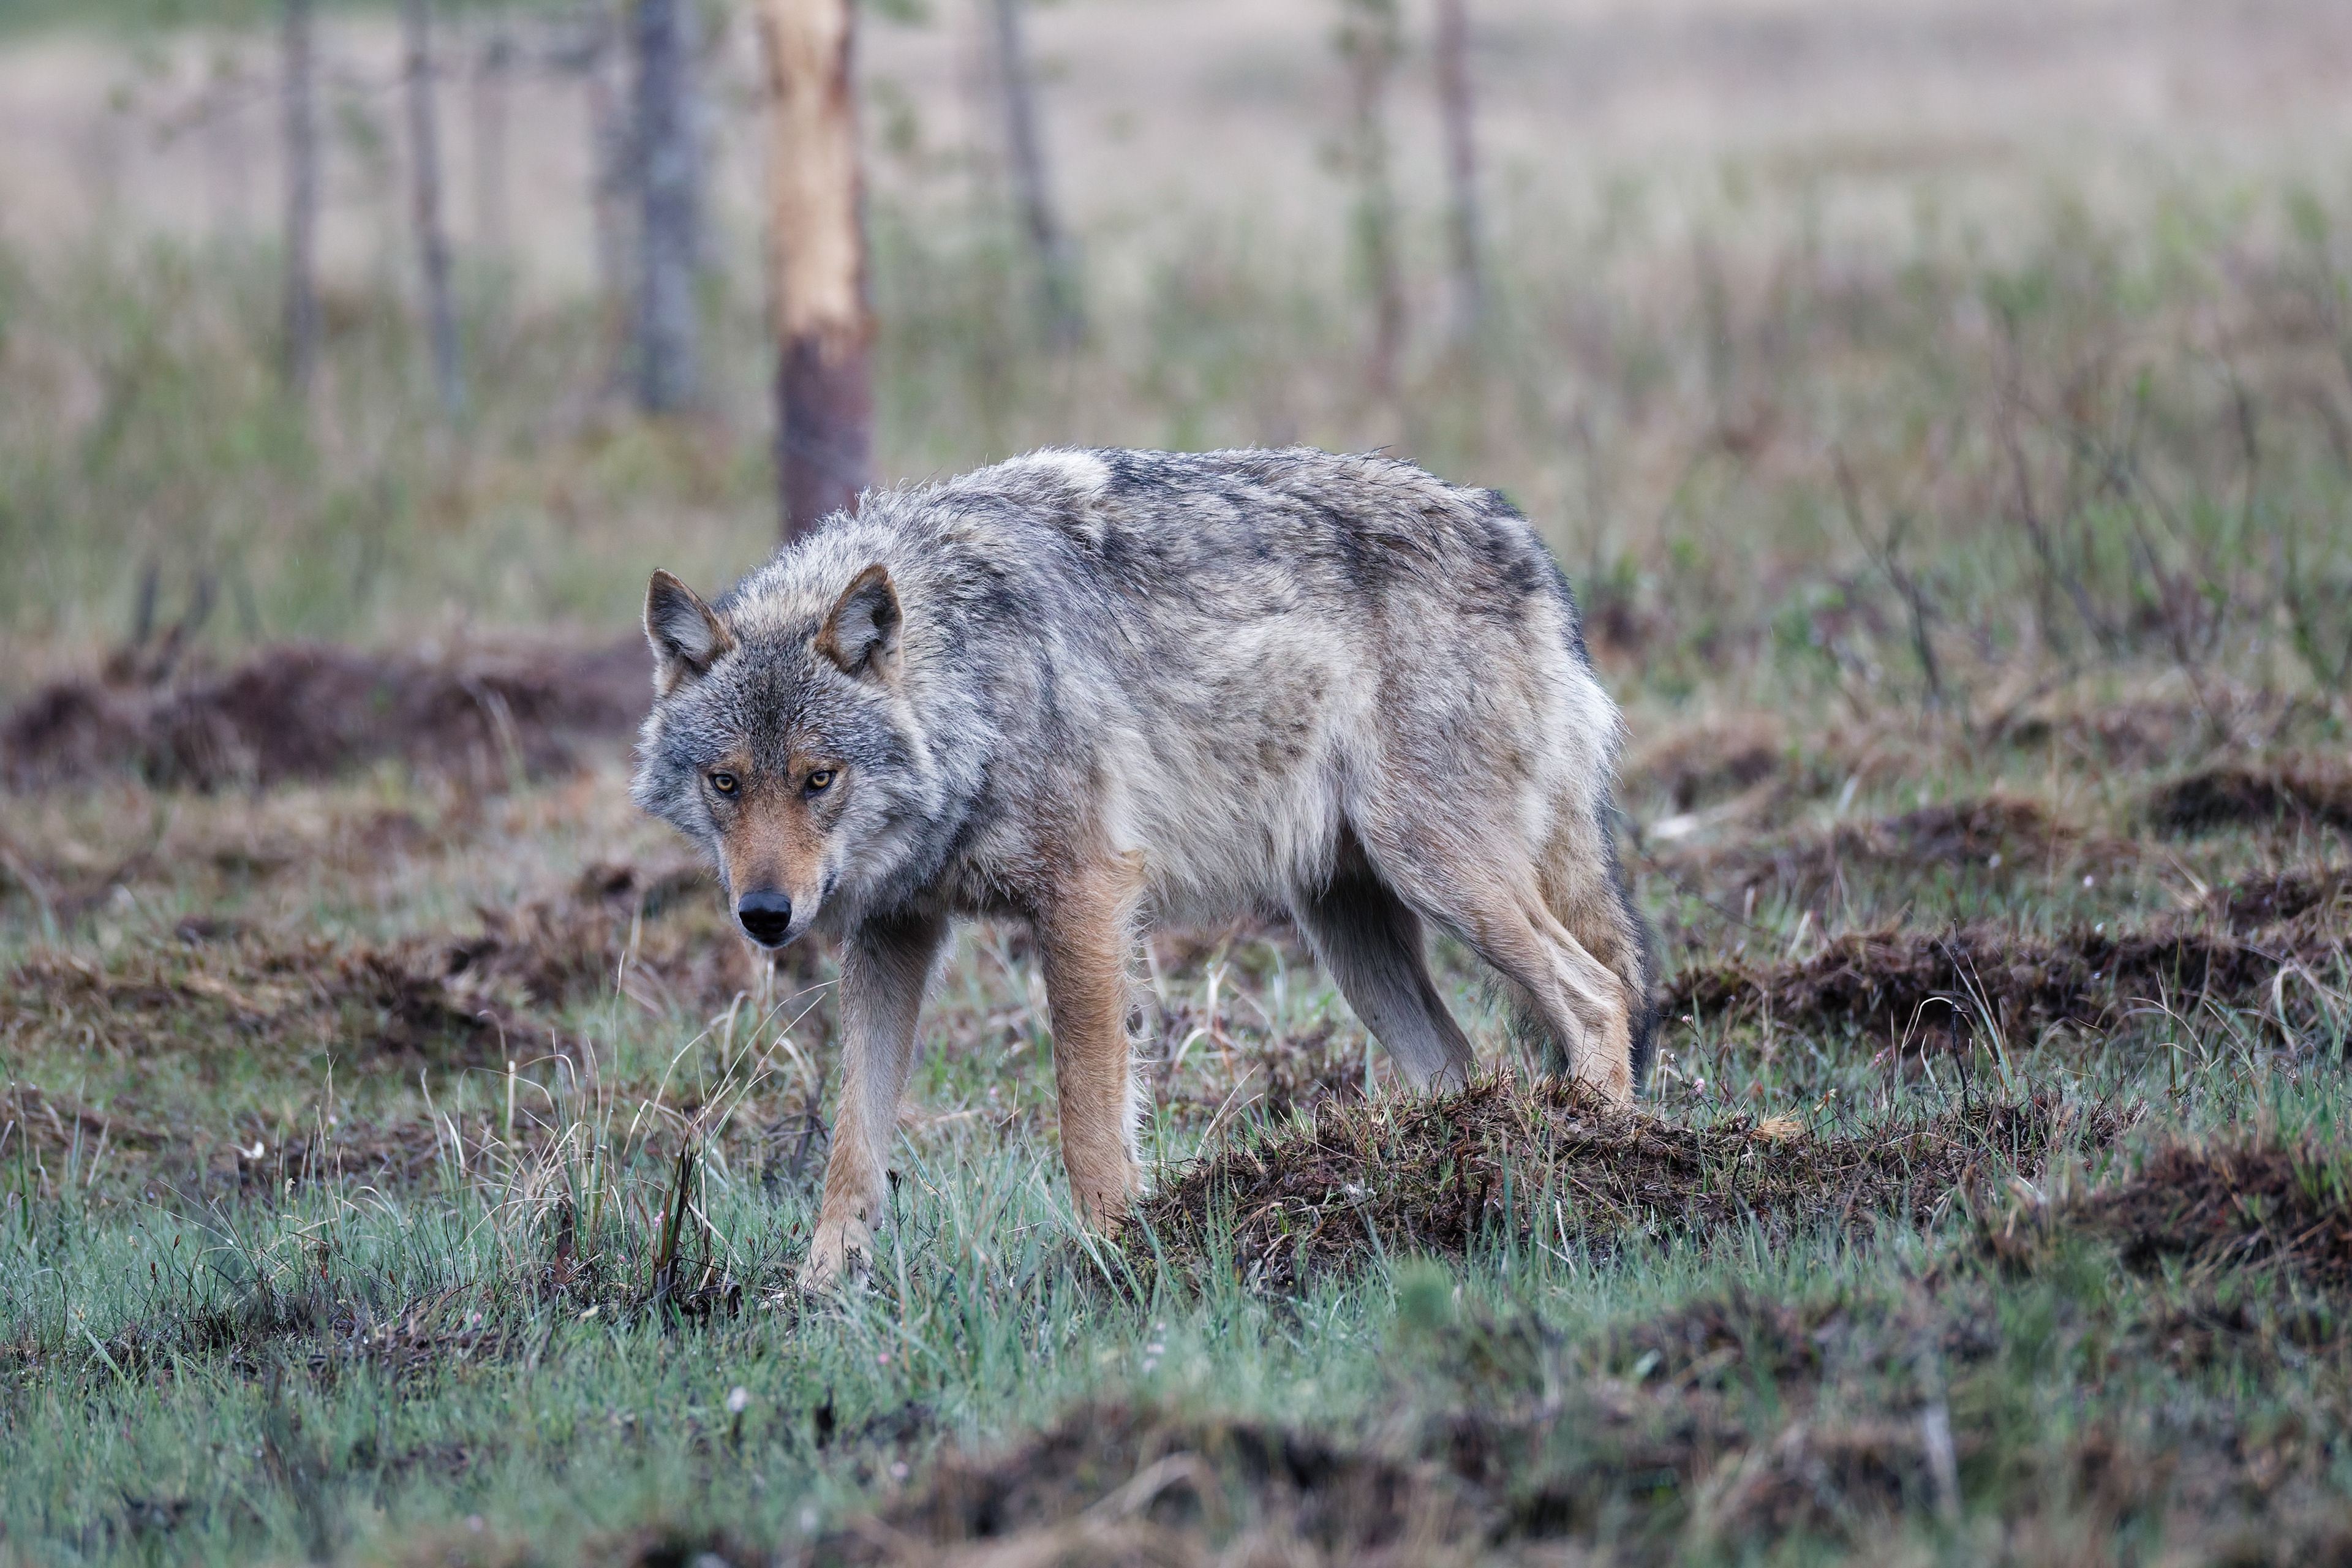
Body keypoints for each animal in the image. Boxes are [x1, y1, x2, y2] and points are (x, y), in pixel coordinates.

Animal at [632, 447, 1655, 1287]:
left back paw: (1595, 1159)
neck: (969, 682)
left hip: (1438, 875)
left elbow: (1087, 1117)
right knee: (1458, 1061)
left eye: (819, 778)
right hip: (1353, 931)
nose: (766, 915)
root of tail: (1521, 541)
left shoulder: (1085, 897)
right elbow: (852, 1144)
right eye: (727, 783)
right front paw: (817, 1294)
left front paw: (1116, 1263)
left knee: (1598, 992)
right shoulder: (894, 933)